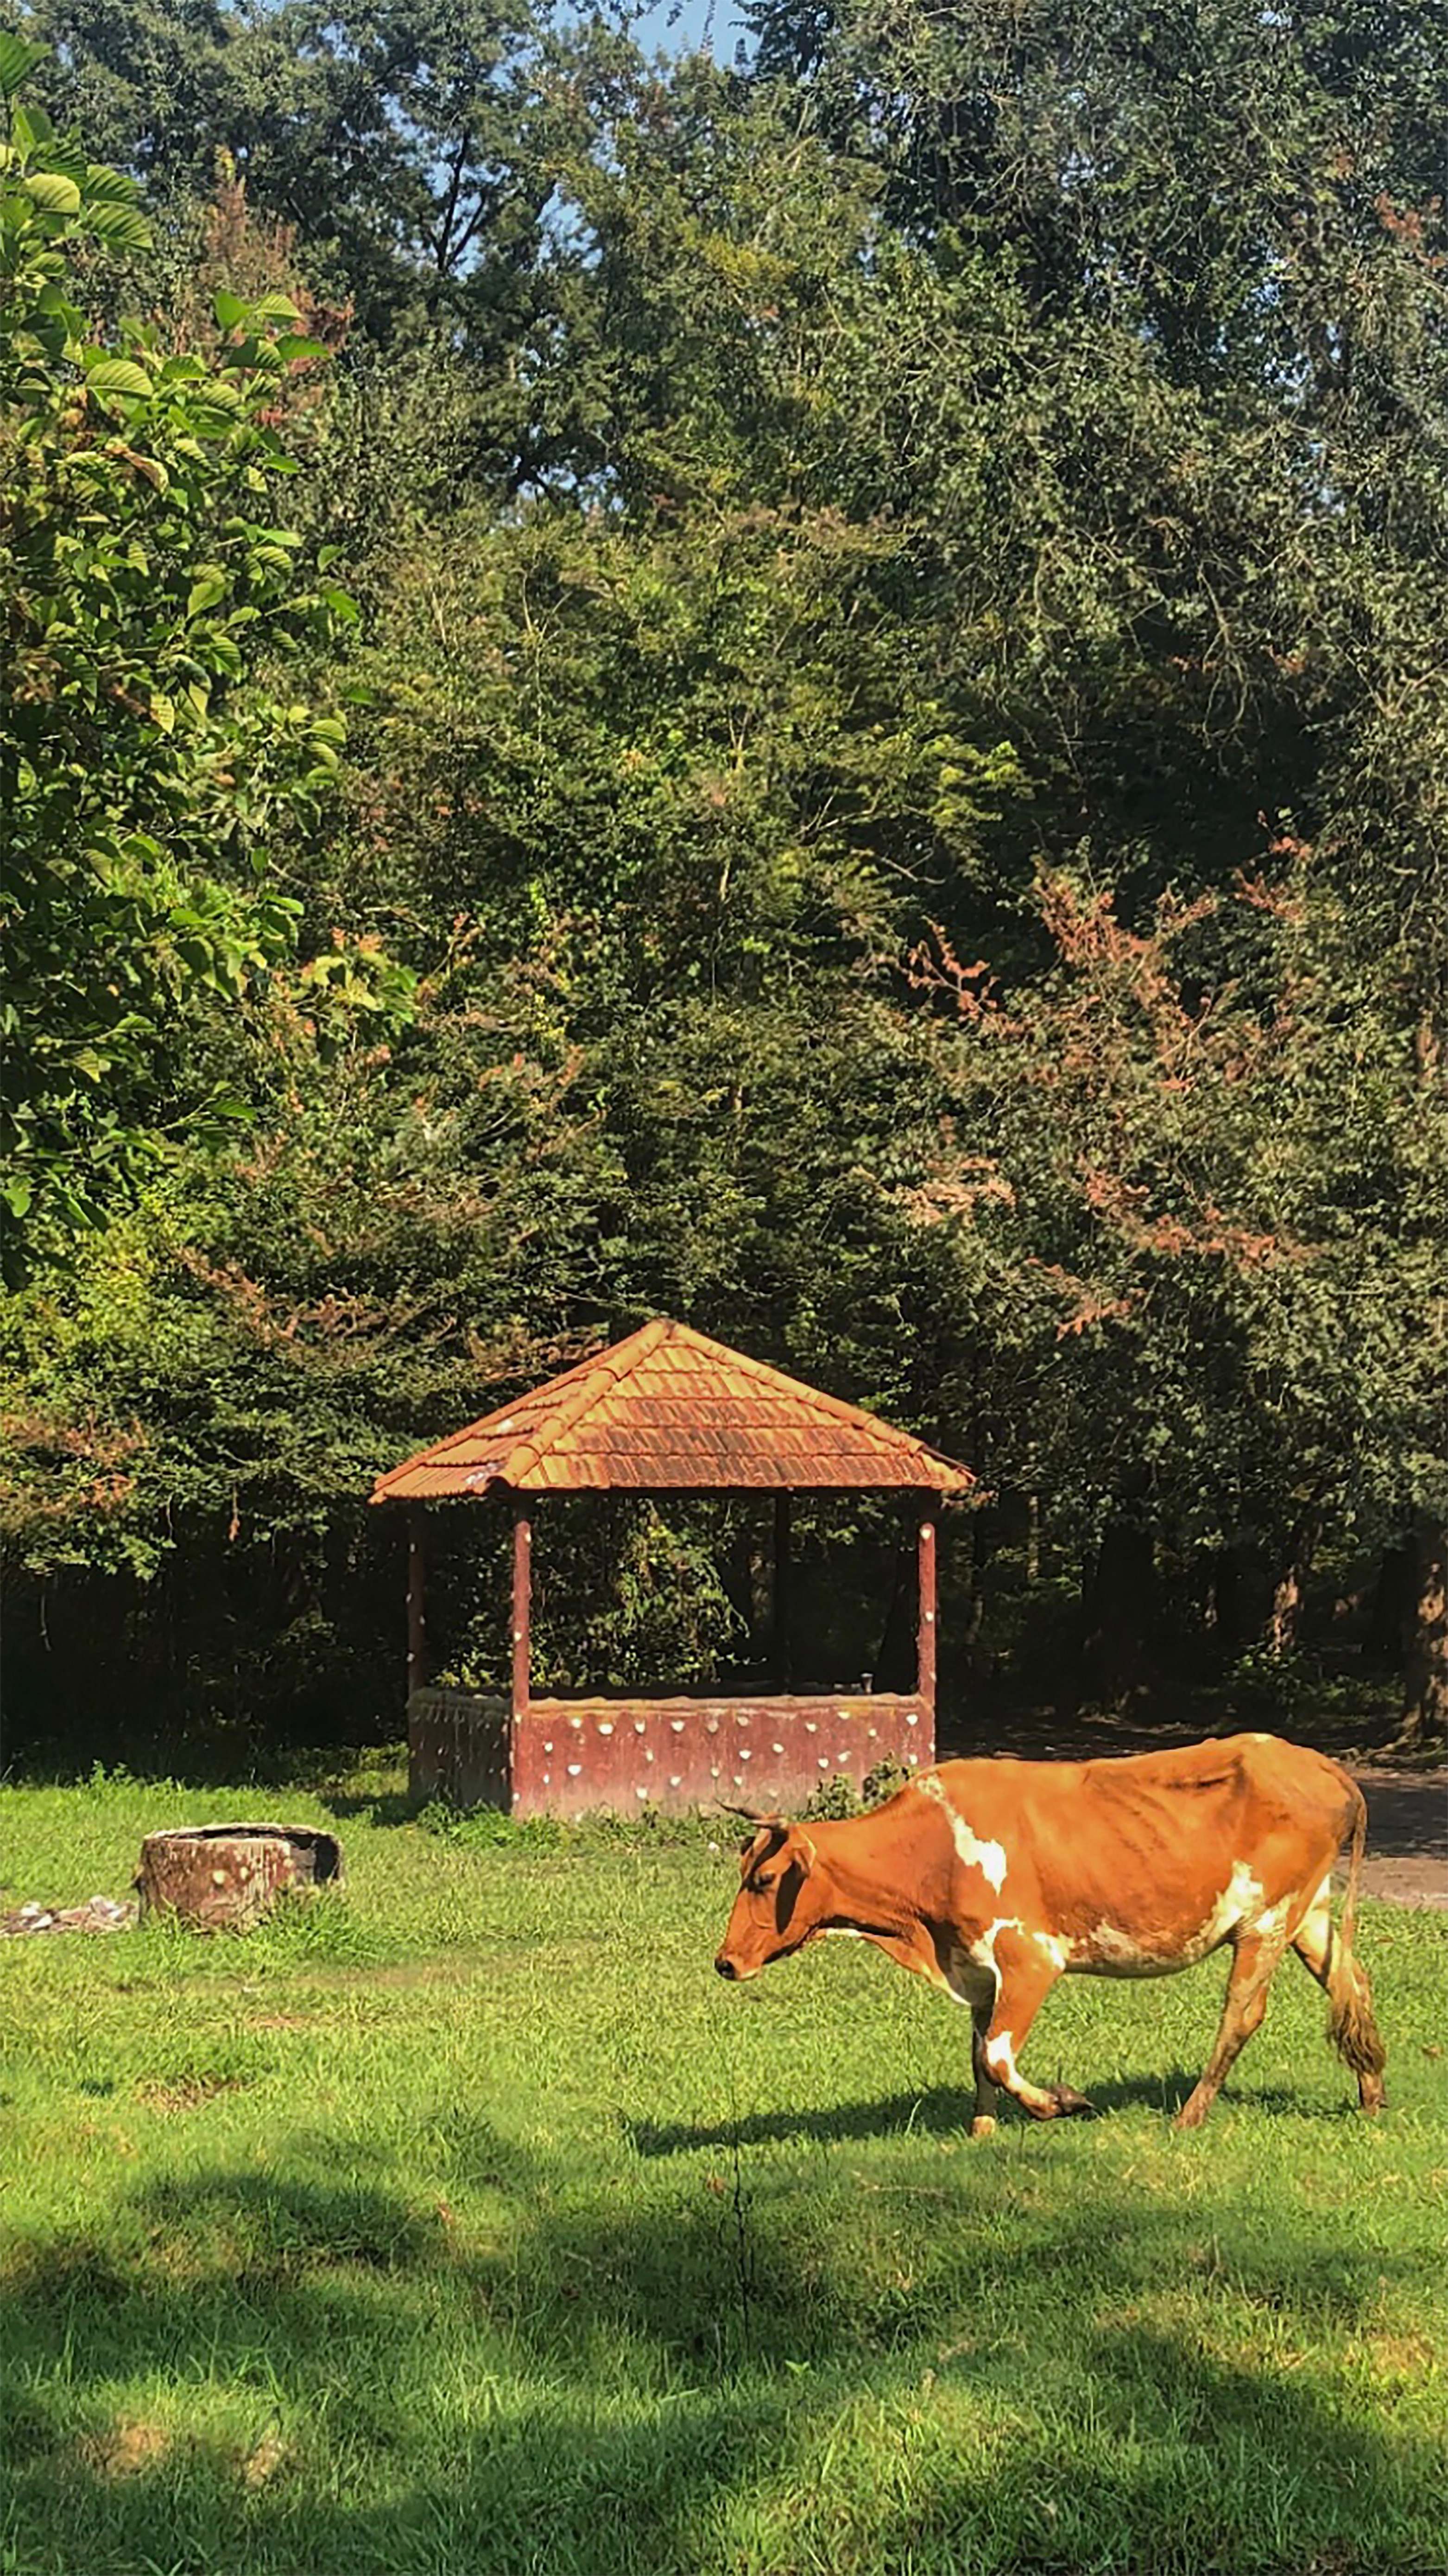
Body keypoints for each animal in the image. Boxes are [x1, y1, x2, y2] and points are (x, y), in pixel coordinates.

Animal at [716, 1731, 1381, 2133]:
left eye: (765, 1878)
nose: (724, 1961)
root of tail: (1318, 1763)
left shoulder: (1029, 1958)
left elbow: (998, 2054)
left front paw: (1060, 2102)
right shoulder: (976, 1967)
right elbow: (978, 2055)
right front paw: (981, 2128)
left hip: (1266, 1919)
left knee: (1242, 2012)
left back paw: (1189, 2115)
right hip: (1308, 1913)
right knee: (1351, 1982)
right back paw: (1371, 2093)